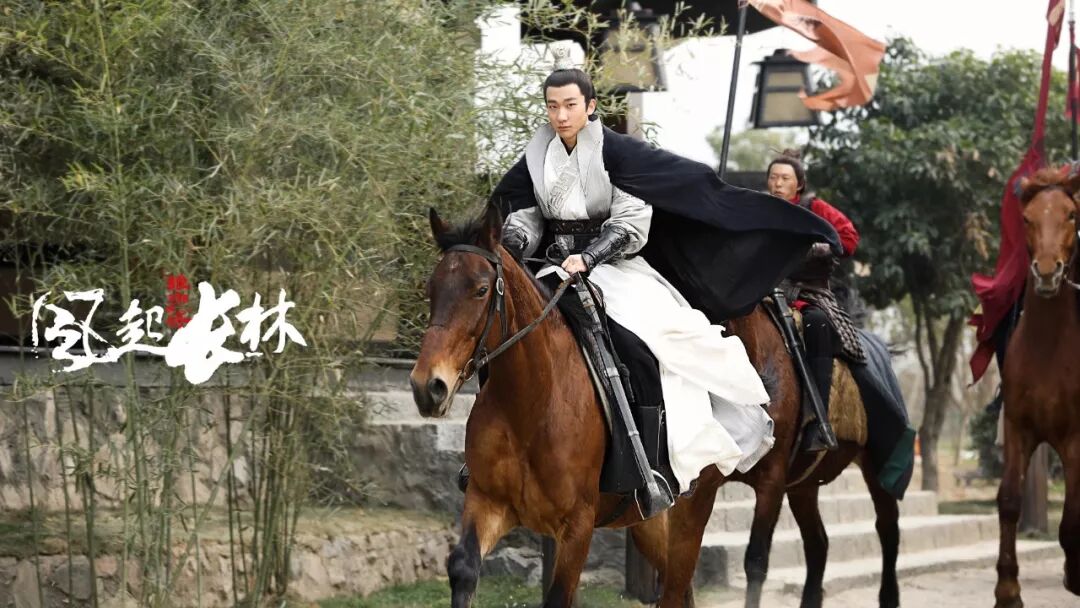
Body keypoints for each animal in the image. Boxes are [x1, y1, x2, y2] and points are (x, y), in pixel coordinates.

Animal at [410, 204, 901, 608]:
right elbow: (463, 569)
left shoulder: (578, 528)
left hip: (726, 500)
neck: (531, 402)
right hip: (666, 520)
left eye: (479, 290)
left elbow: (755, 562)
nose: (427, 386)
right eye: (431, 289)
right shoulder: (487, 502)